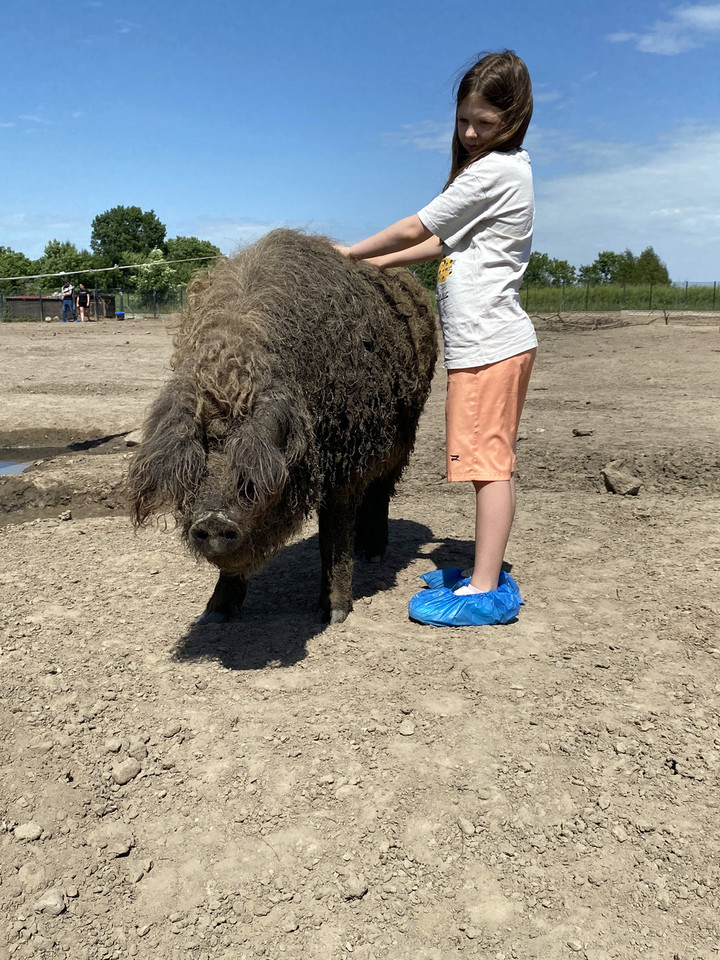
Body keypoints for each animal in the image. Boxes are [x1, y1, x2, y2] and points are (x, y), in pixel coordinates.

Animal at [126, 230, 436, 628]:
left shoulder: (344, 458)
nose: (213, 519)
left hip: (405, 433)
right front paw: (214, 614)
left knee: (381, 489)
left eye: (251, 463)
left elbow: (333, 534)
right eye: (202, 450)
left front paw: (333, 615)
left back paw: (373, 553)